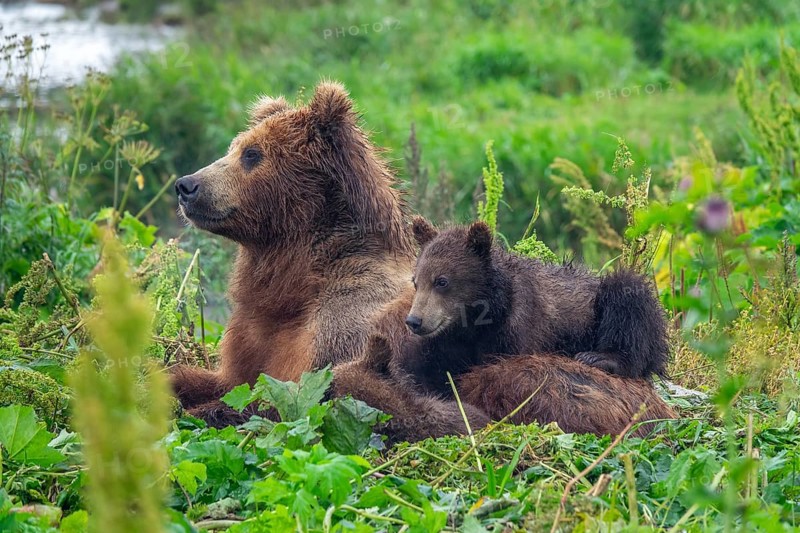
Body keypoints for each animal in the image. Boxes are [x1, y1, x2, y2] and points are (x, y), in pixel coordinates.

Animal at [170, 82, 417, 425]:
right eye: (233, 147)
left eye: (252, 154)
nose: (186, 185)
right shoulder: (253, 332)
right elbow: (231, 379)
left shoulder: (341, 328)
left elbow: (280, 403)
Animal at [396, 218, 669, 394]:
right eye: (416, 281)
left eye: (442, 281)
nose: (415, 321)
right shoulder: (452, 339)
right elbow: (430, 364)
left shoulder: (519, 328)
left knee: (629, 302)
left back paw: (600, 357)